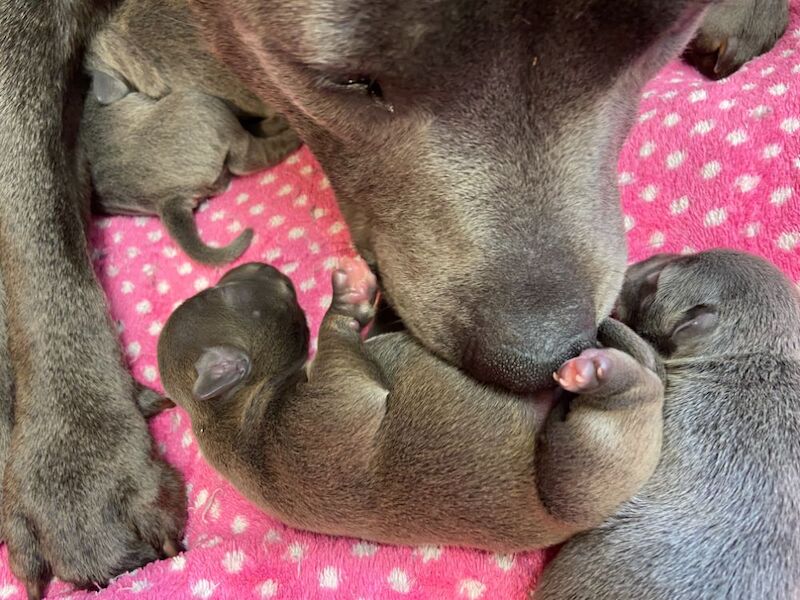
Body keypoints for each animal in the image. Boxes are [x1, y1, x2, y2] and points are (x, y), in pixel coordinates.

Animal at [156, 258, 664, 552]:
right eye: (227, 293)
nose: (263, 264)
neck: (229, 412)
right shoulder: (328, 409)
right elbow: (339, 346)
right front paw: (348, 296)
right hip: (580, 470)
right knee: (635, 396)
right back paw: (599, 372)